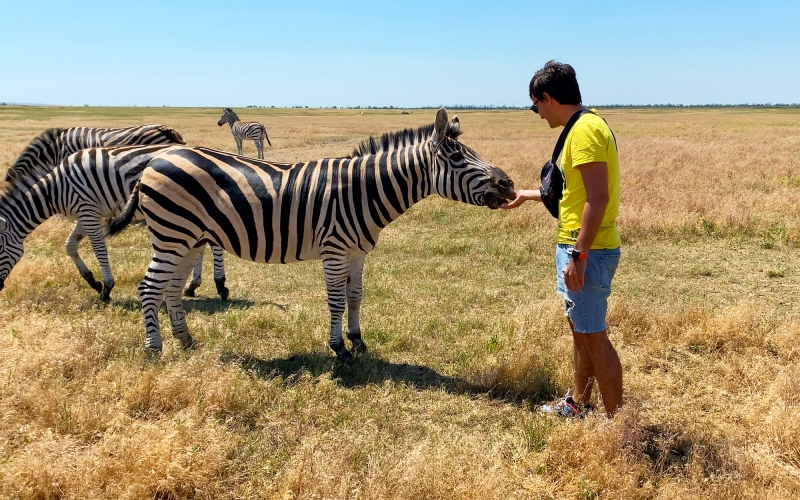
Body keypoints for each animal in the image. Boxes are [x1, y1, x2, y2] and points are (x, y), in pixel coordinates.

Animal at [3, 125, 228, 300]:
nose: (1, 288)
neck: (57, 188)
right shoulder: (85, 213)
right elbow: (70, 246)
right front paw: (92, 281)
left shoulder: (88, 211)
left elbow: (99, 249)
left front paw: (106, 288)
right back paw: (192, 286)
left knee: (214, 244)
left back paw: (220, 284)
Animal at [109, 108, 516, 361]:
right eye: (458, 158)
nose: (509, 185)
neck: (363, 191)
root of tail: (156, 159)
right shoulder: (335, 250)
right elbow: (335, 302)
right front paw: (339, 349)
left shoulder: (358, 252)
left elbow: (355, 297)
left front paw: (358, 340)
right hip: (172, 235)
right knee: (149, 288)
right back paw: (154, 349)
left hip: (189, 240)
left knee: (171, 289)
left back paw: (186, 341)